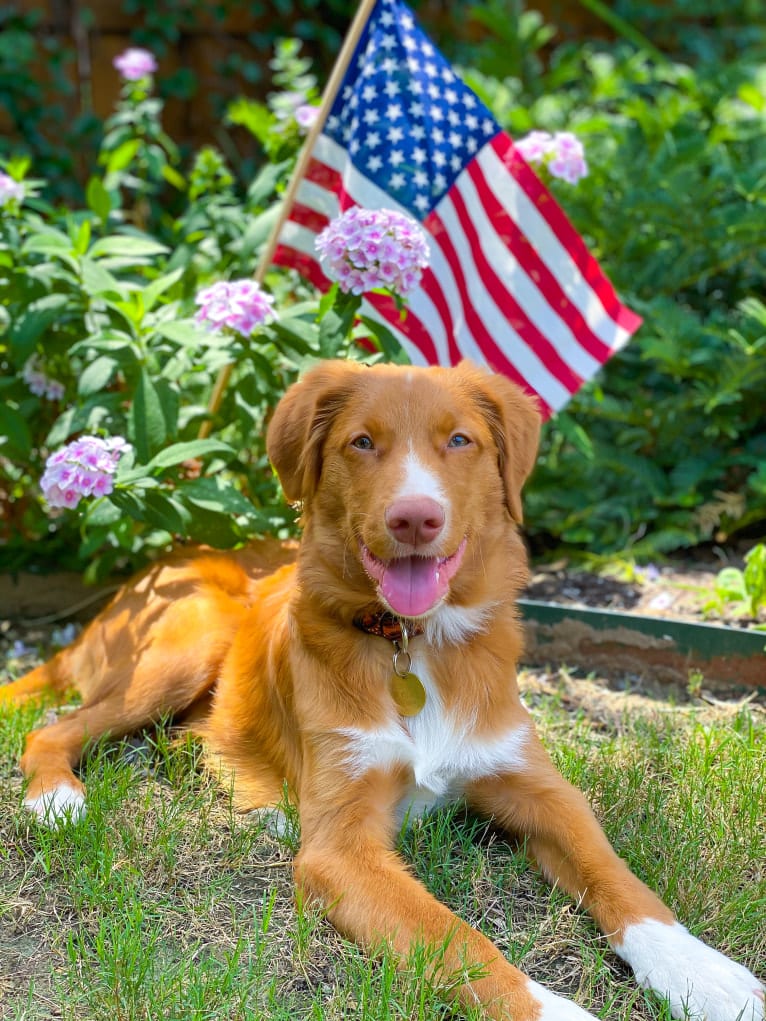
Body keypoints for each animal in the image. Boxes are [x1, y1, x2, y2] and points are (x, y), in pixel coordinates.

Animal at [3, 361, 763, 1021]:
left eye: (460, 440)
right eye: (361, 442)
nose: (415, 518)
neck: (413, 645)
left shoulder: (541, 789)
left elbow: (622, 879)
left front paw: (707, 976)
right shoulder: (342, 850)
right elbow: (460, 940)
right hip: (180, 652)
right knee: (56, 727)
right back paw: (56, 798)